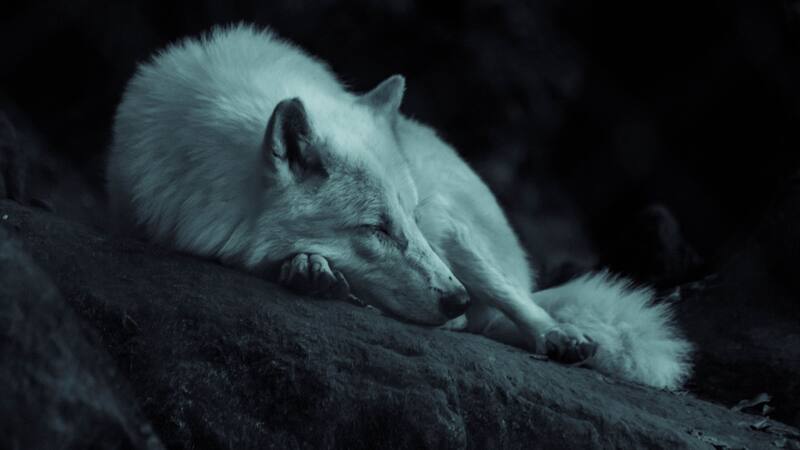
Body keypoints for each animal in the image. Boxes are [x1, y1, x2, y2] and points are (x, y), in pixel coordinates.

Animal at [107, 24, 692, 389]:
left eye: (404, 220)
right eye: (377, 229)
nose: (455, 299)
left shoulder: (430, 223)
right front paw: (309, 268)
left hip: (453, 226)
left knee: (516, 301)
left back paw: (558, 335)